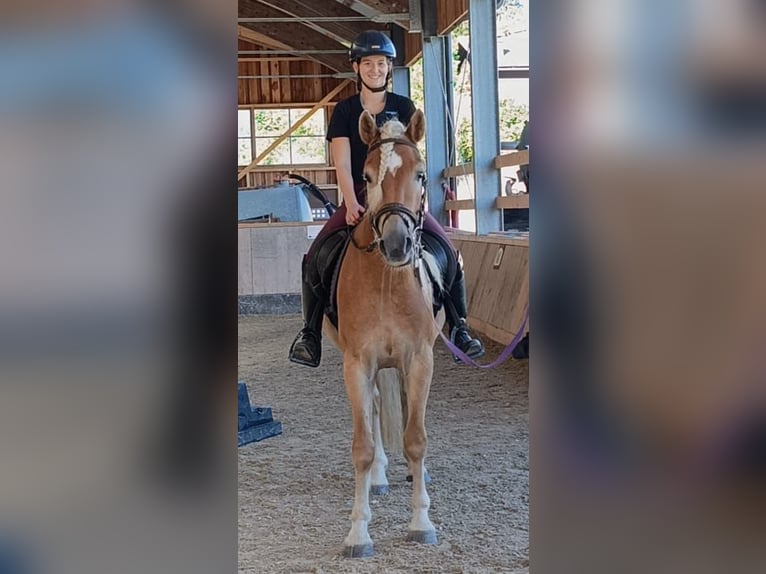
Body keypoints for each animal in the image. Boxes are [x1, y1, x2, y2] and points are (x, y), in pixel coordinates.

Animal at [323, 109, 446, 558]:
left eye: (421, 174)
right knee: (375, 407)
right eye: (367, 175)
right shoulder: (357, 363)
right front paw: (358, 532)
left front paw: (421, 522)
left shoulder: (420, 359)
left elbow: (416, 438)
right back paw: (378, 477)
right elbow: (361, 446)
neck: (387, 282)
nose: (397, 245)